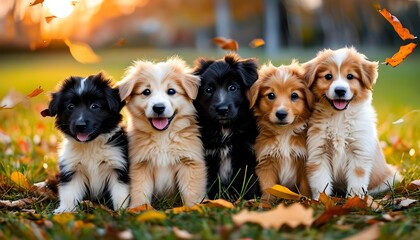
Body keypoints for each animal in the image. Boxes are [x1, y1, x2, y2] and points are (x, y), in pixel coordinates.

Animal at [41, 72, 130, 212]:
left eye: (94, 106)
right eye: (70, 107)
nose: (80, 125)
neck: (91, 145)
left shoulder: (117, 165)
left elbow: (120, 194)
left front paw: (121, 211)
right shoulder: (72, 169)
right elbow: (69, 192)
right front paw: (65, 210)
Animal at [118, 57, 207, 207]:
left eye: (171, 91)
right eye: (146, 92)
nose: (158, 107)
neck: (162, 137)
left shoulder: (189, 162)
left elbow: (191, 191)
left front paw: (194, 207)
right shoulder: (140, 165)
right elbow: (140, 191)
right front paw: (137, 208)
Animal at [193, 53, 260, 200]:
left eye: (233, 88)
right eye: (208, 90)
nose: (222, 109)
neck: (225, 129)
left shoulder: (246, 154)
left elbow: (248, 182)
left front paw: (249, 200)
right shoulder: (207, 158)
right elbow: (210, 183)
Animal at [248, 60, 314, 201]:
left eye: (294, 95)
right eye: (271, 95)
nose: (281, 114)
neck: (285, 133)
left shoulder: (304, 162)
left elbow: (305, 188)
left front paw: (306, 201)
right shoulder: (265, 162)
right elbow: (268, 188)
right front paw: (265, 203)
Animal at [302, 47, 400, 201]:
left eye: (350, 76)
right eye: (328, 76)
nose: (340, 90)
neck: (339, 117)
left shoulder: (359, 152)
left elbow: (357, 180)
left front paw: (356, 200)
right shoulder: (318, 151)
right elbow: (321, 182)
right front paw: (321, 201)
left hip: (389, 177)